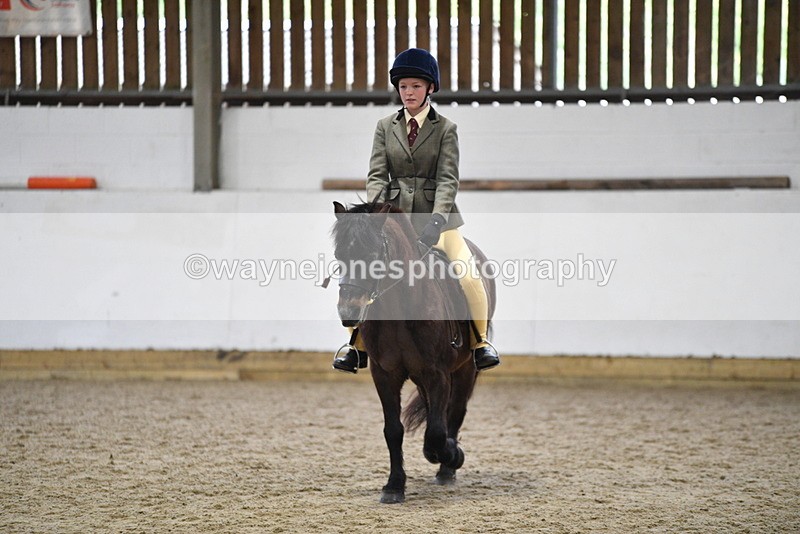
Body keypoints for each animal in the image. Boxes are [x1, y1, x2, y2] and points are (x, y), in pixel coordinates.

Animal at [331, 200, 496, 504]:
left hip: (464, 369)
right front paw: (394, 486)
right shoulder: (385, 375)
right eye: (339, 255)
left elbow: (437, 432)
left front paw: (452, 455)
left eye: (373, 255)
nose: (349, 313)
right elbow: (394, 430)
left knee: (454, 413)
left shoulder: (437, 373)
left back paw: (447, 469)